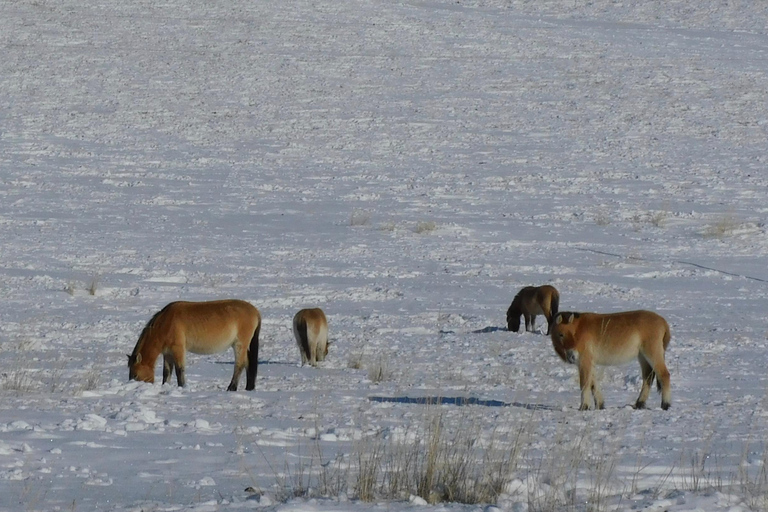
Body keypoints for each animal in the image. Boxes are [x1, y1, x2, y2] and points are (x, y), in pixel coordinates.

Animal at [124, 298, 260, 390]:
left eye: (135, 374)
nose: (133, 386)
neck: (166, 323)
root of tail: (255, 311)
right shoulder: (167, 353)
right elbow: (166, 372)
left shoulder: (178, 349)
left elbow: (179, 370)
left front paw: (182, 387)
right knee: (247, 364)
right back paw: (248, 387)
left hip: (239, 344)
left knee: (239, 365)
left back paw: (231, 388)